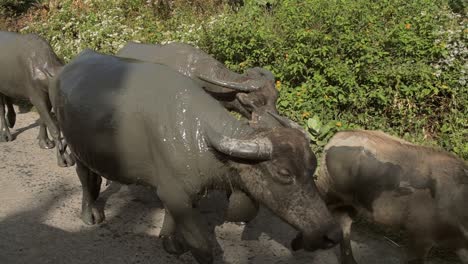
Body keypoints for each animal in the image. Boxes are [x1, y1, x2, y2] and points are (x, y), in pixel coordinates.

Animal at [0, 31, 73, 167]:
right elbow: (54, 128)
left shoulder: (46, 97)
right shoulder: (36, 97)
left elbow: (43, 120)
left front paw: (44, 142)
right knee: (1, 108)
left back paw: (12, 119)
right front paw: (63, 158)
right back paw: (5, 135)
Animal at [51, 50, 344, 264]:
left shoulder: (179, 193)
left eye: (312, 167)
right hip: (76, 148)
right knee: (84, 176)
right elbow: (202, 247)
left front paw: (170, 242)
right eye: (283, 174)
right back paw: (90, 213)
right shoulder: (175, 193)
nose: (332, 235)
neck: (200, 139)